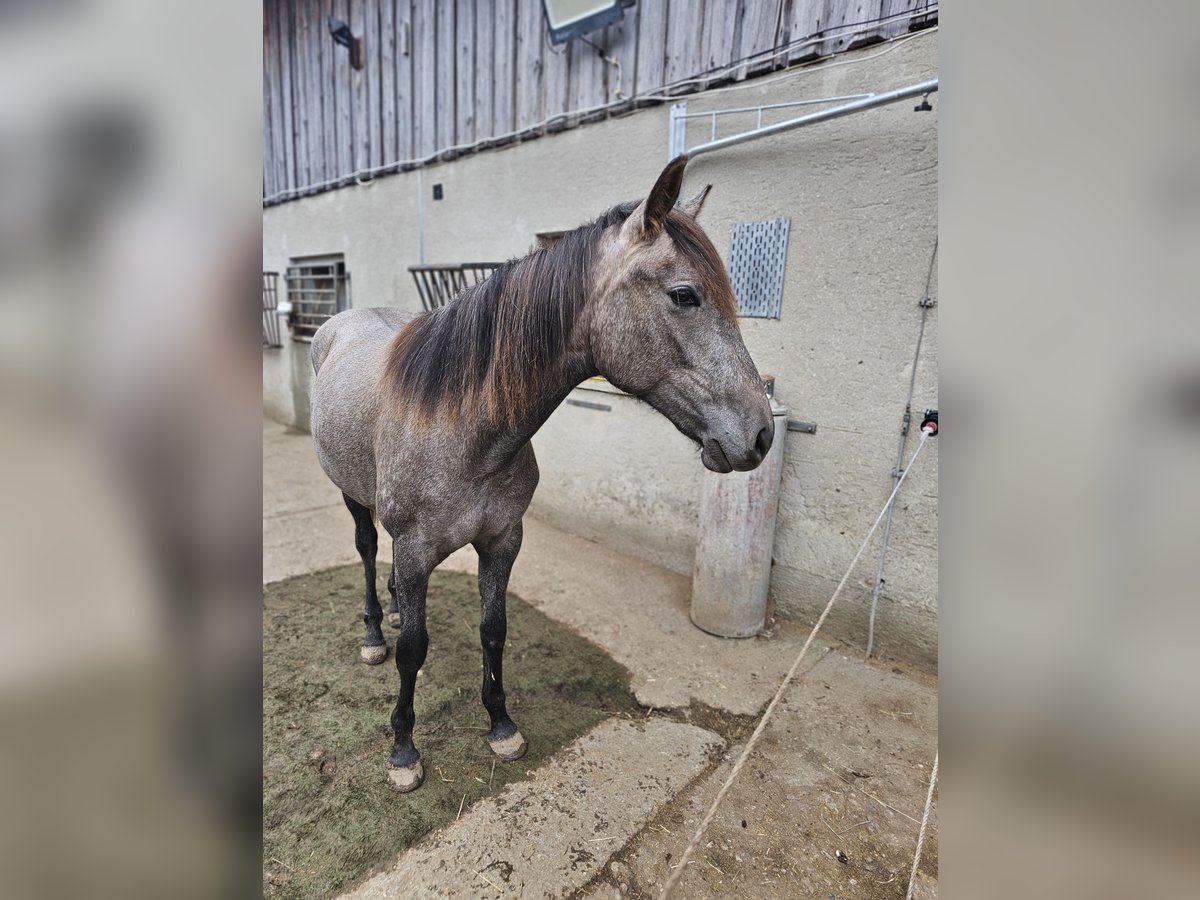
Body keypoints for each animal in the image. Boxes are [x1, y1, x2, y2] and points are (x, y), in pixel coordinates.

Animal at [309, 158, 772, 792]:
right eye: (685, 295)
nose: (761, 434)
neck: (465, 430)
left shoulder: (503, 540)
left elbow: (493, 630)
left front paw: (501, 725)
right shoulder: (416, 548)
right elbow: (414, 651)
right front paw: (403, 749)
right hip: (351, 496)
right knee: (365, 550)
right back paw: (376, 633)